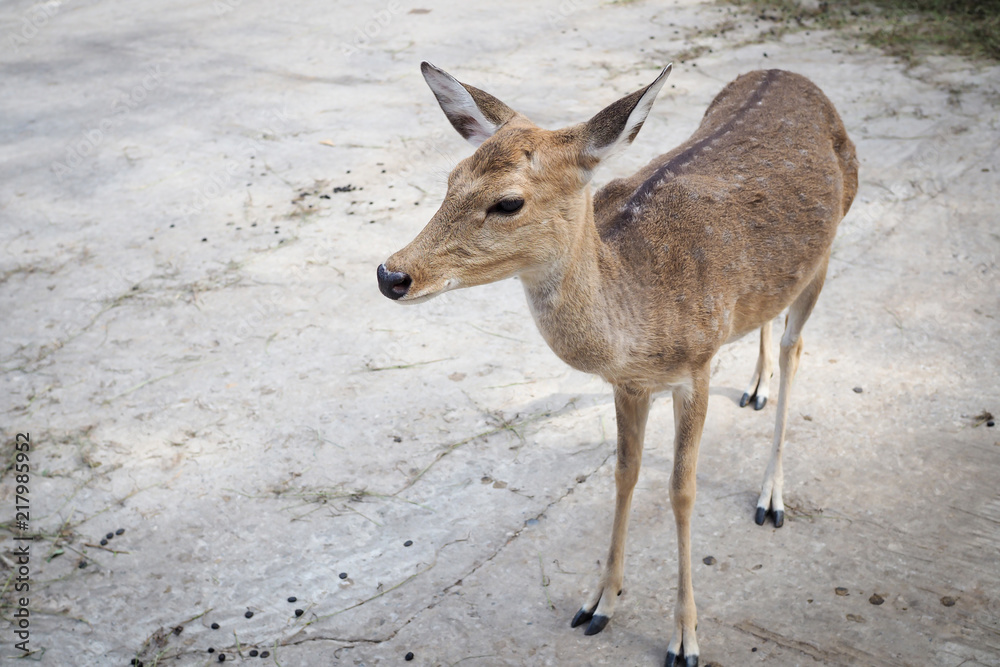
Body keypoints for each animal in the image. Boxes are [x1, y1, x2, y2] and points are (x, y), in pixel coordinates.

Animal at [377, 61, 858, 666]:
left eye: (509, 203)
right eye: (450, 179)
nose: (391, 274)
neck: (638, 320)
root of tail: (785, 70)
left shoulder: (696, 367)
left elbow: (681, 490)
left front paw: (685, 639)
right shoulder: (629, 384)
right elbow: (624, 473)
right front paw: (598, 602)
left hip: (830, 243)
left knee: (797, 347)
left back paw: (771, 496)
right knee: (770, 319)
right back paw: (755, 386)